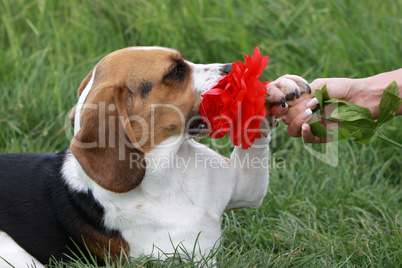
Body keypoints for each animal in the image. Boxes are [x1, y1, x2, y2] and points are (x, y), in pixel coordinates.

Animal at [0, 46, 310, 266]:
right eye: (175, 72)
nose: (234, 69)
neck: (172, 169)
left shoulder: (243, 190)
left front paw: (274, 90)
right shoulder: (185, 257)